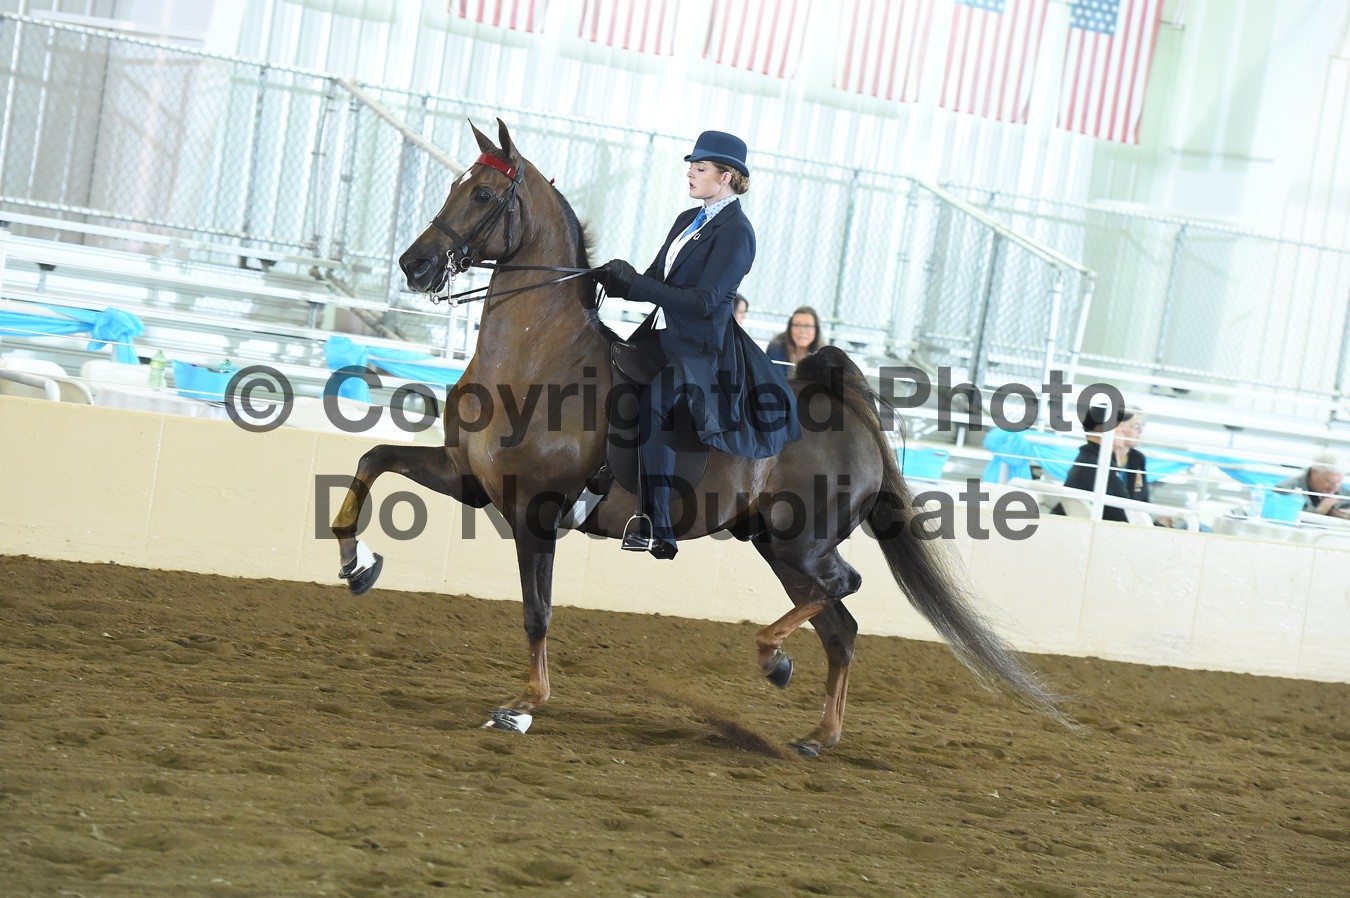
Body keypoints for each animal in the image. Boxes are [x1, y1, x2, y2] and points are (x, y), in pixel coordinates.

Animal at [331, 119, 1067, 756]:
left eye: (482, 194)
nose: (416, 264)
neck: (538, 358)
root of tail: (849, 410)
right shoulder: (471, 479)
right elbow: (372, 459)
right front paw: (358, 566)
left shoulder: (535, 512)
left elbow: (537, 612)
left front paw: (523, 706)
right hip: (778, 545)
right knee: (842, 628)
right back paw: (815, 732)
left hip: (801, 542)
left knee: (846, 589)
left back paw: (773, 660)